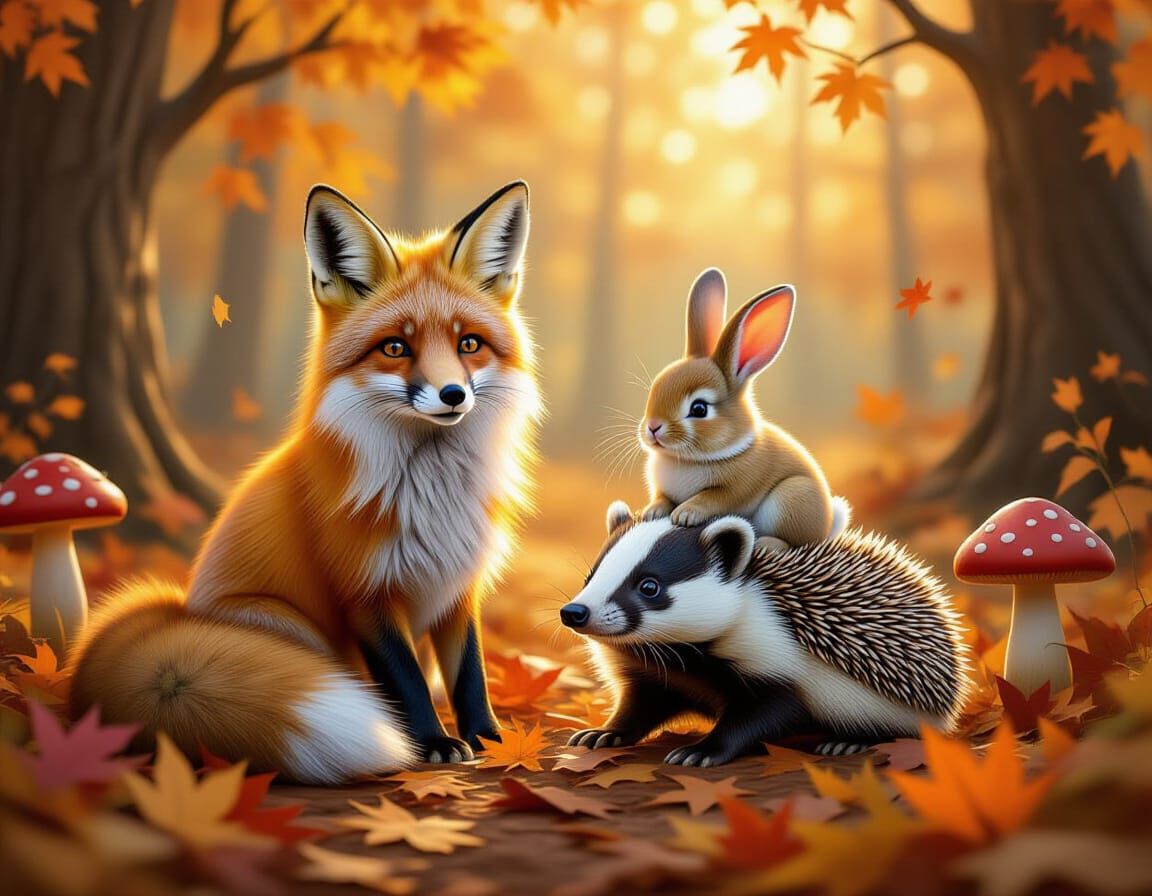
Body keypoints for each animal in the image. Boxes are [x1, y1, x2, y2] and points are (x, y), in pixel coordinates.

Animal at [67, 182, 542, 784]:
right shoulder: (364, 590)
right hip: (292, 628)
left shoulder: (459, 585)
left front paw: (491, 740)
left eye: (469, 344)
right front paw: (431, 743)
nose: (453, 395)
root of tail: (178, 616)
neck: (433, 495)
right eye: (395, 347)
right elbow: (407, 680)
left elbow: (470, 674)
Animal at [638, 268, 849, 552]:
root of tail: (828, 523)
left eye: (699, 408)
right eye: (655, 388)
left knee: (796, 540)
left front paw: (685, 513)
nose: (652, 427)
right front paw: (652, 511)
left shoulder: (735, 490)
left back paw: (767, 544)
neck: (688, 458)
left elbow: (711, 498)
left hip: (792, 497)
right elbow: (662, 497)